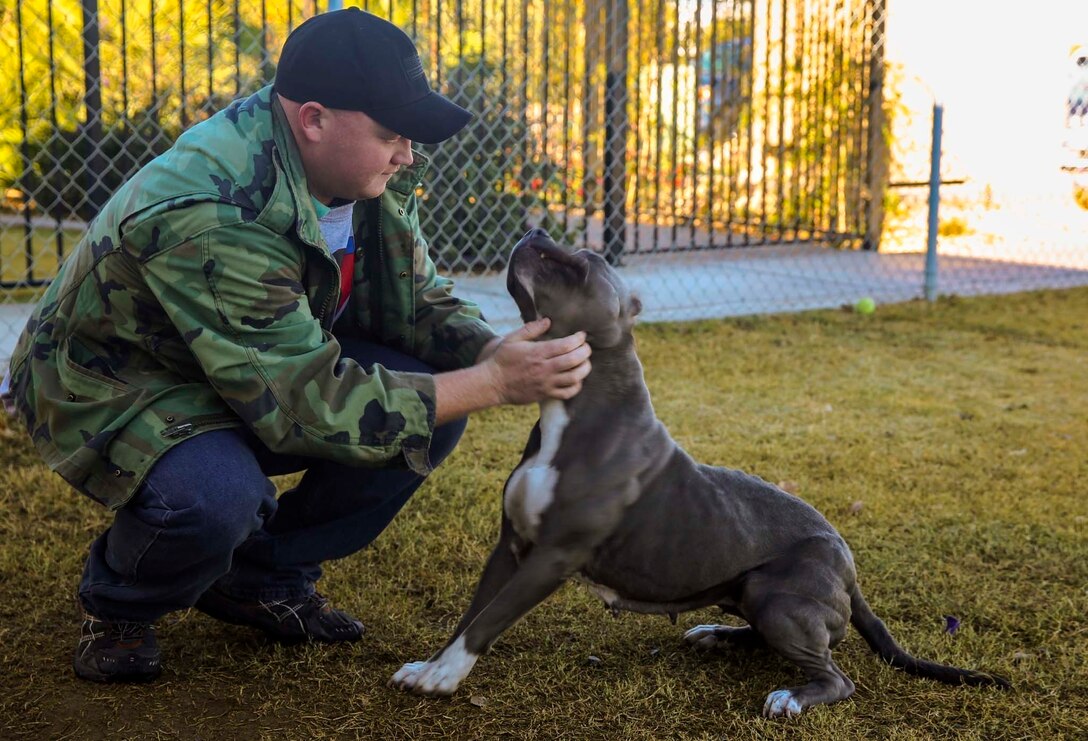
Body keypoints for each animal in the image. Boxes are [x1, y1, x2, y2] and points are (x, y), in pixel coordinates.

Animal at [393, 228, 1009, 713]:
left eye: (576, 264)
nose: (535, 229)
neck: (574, 410)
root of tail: (847, 560)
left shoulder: (553, 556)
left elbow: (490, 618)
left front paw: (444, 676)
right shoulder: (511, 545)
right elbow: (471, 613)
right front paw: (432, 663)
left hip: (777, 598)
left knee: (836, 676)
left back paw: (792, 697)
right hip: (753, 595)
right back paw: (720, 633)